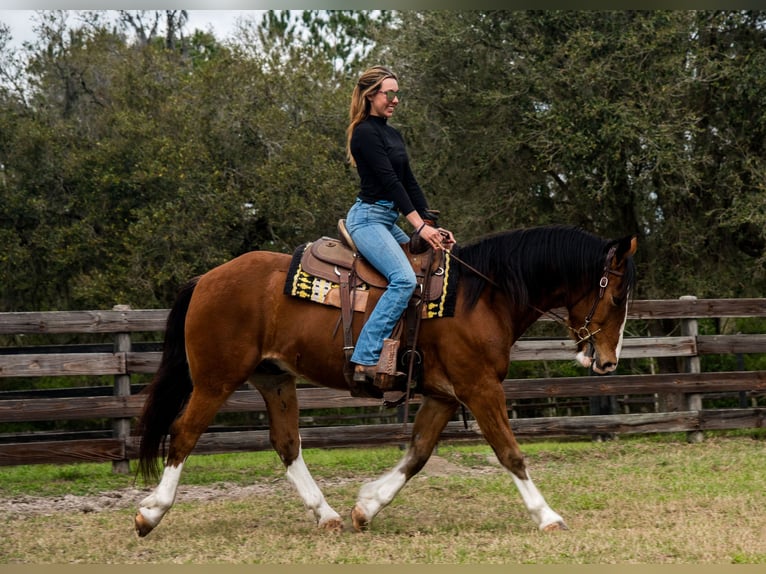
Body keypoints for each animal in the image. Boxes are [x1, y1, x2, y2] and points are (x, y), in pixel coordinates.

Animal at [135, 224, 640, 536]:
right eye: (617, 295)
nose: (608, 361)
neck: (480, 296)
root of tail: (206, 279)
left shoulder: (444, 396)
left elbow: (417, 454)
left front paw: (367, 505)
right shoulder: (479, 388)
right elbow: (510, 453)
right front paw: (547, 515)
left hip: (274, 379)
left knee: (287, 445)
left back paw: (327, 514)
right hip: (216, 380)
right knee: (184, 434)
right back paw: (150, 513)